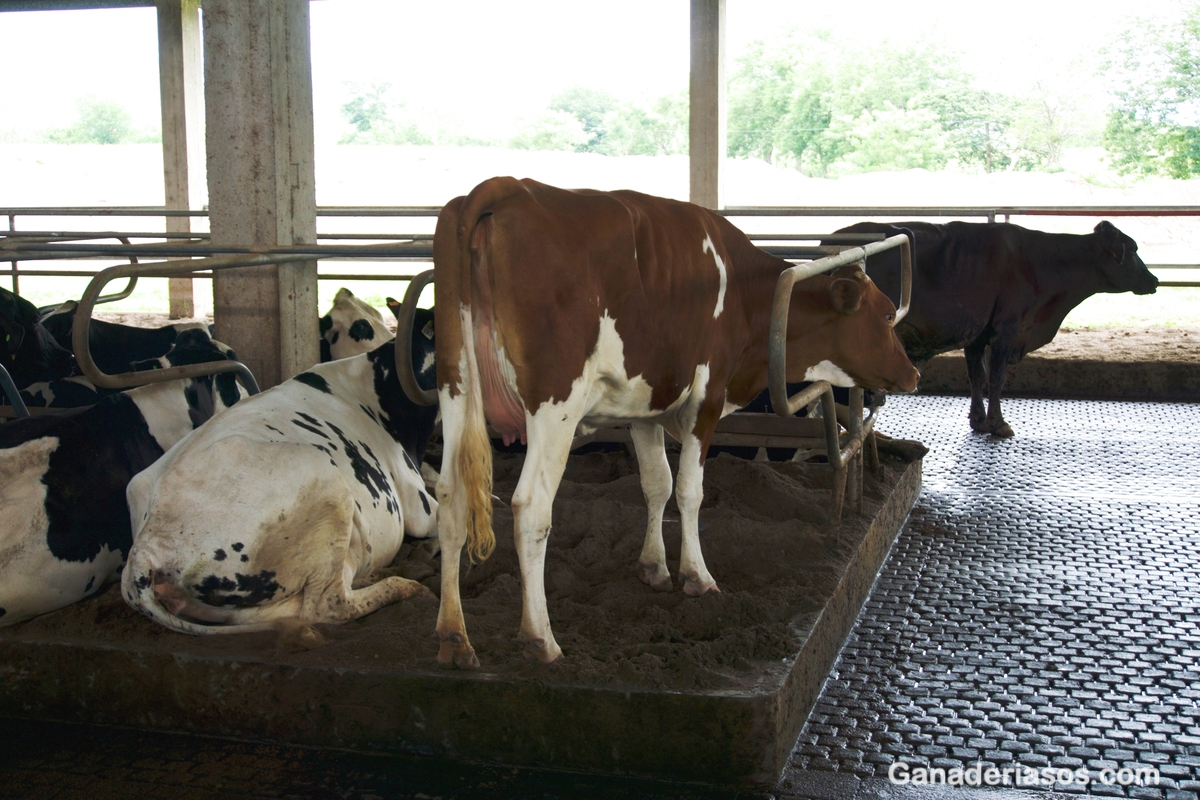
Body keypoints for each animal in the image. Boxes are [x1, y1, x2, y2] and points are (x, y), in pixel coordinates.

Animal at [427, 176, 921, 671]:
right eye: (885, 314)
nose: (913, 374)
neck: (746, 296)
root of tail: (507, 187)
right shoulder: (707, 397)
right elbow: (688, 490)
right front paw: (697, 576)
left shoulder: (643, 404)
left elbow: (656, 483)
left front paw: (654, 567)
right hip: (554, 405)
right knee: (531, 508)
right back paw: (540, 637)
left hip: (456, 387)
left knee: (450, 496)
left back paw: (454, 636)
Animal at [840, 220, 1156, 438]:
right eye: (1133, 251)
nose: (1154, 280)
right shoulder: (1008, 327)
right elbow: (997, 377)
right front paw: (998, 423)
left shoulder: (977, 333)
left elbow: (977, 376)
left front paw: (978, 420)